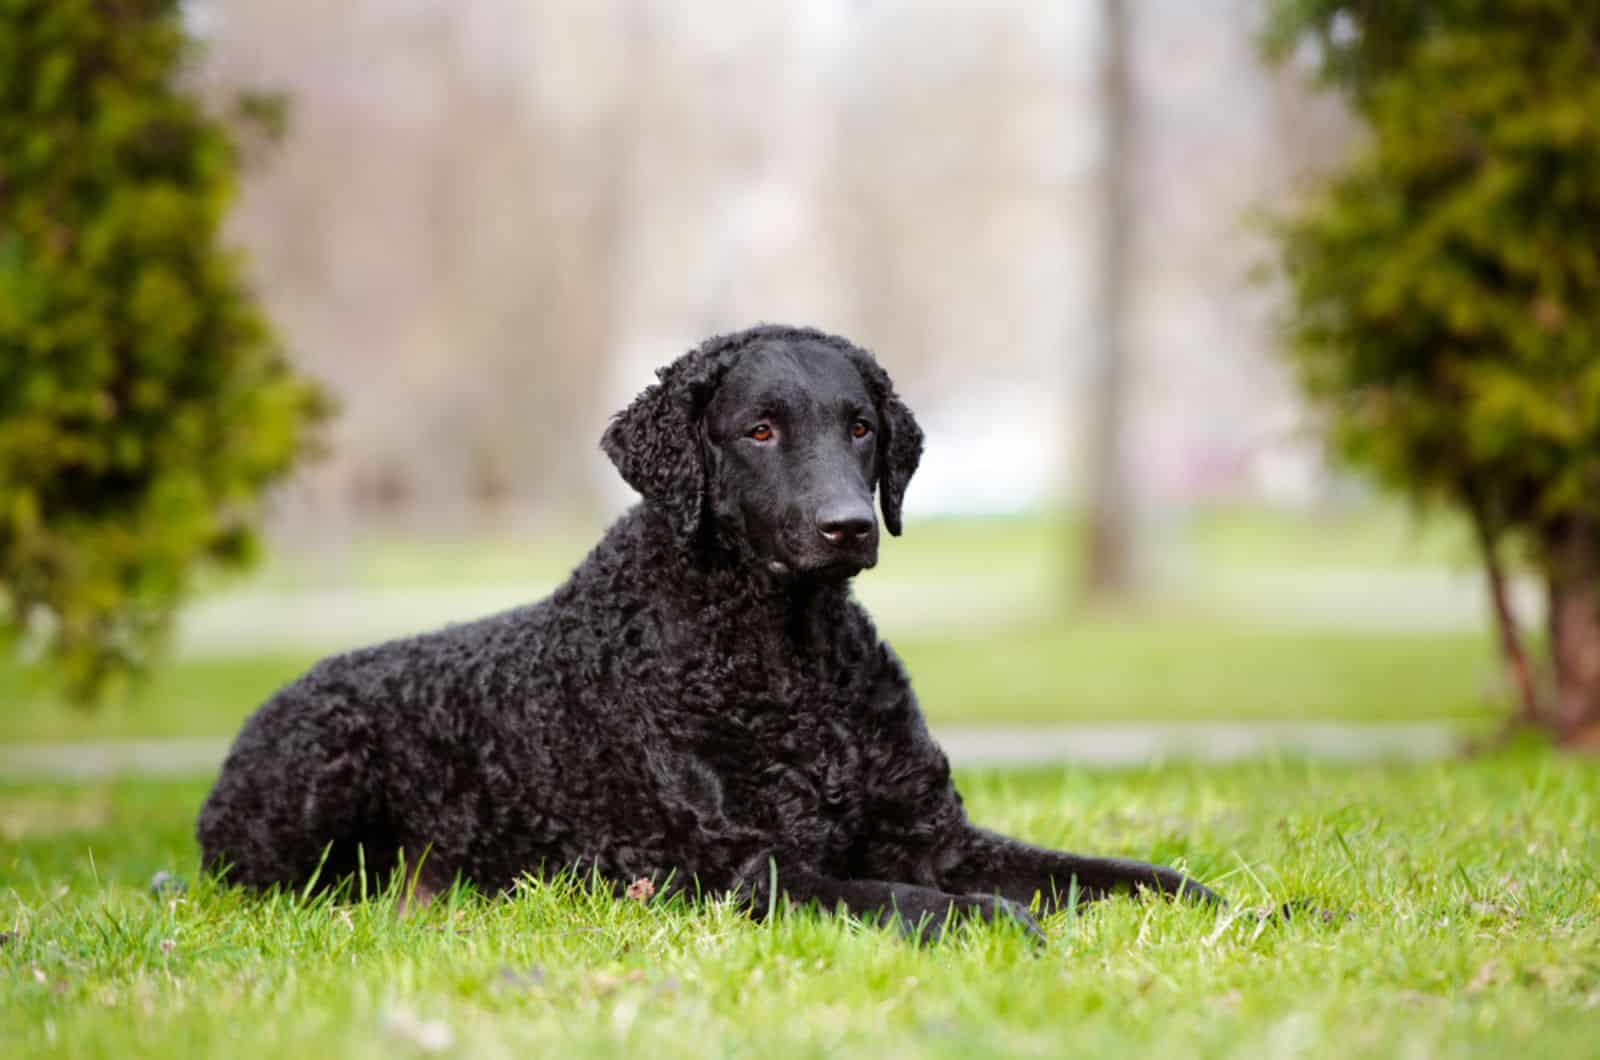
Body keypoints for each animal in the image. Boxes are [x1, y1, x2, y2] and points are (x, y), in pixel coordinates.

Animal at [200, 326, 1222, 941]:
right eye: (759, 430)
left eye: (861, 427)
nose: (850, 526)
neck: (791, 660)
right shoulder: (744, 868)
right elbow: (908, 897)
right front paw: (994, 921)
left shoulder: (939, 835)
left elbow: (1115, 874)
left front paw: (1238, 906)